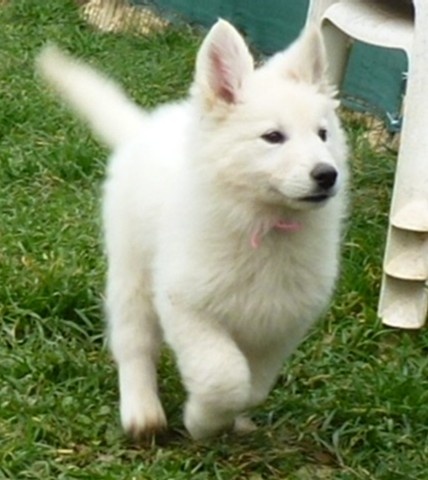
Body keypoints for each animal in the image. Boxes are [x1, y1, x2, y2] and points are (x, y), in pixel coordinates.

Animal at [37, 19, 348, 440]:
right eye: (273, 137)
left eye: (322, 134)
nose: (327, 174)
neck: (264, 226)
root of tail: (143, 129)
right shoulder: (186, 304)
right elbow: (223, 375)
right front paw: (202, 422)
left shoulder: (281, 322)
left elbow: (253, 386)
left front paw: (230, 418)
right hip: (133, 273)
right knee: (133, 343)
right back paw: (142, 410)